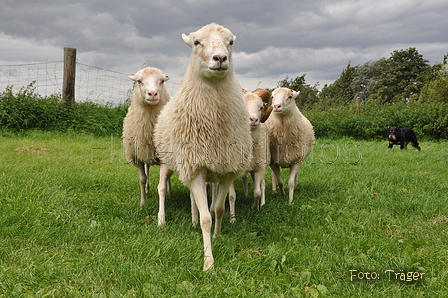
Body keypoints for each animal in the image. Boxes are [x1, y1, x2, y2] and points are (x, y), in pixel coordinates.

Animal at [121, 67, 171, 207]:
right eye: (139, 81)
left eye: (162, 81)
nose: (152, 94)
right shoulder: (137, 156)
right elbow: (142, 179)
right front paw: (143, 203)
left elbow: (162, 184)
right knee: (147, 169)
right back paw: (148, 190)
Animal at [153, 22, 252, 270]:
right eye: (196, 42)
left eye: (231, 42)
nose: (220, 58)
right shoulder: (195, 166)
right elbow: (207, 217)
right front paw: (209, 261)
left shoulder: (226, 170)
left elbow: (218, 209)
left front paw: (217, 236)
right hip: (169, 160)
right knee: (161, 189)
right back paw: (161, 219)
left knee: (195, 198)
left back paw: (192, 218)